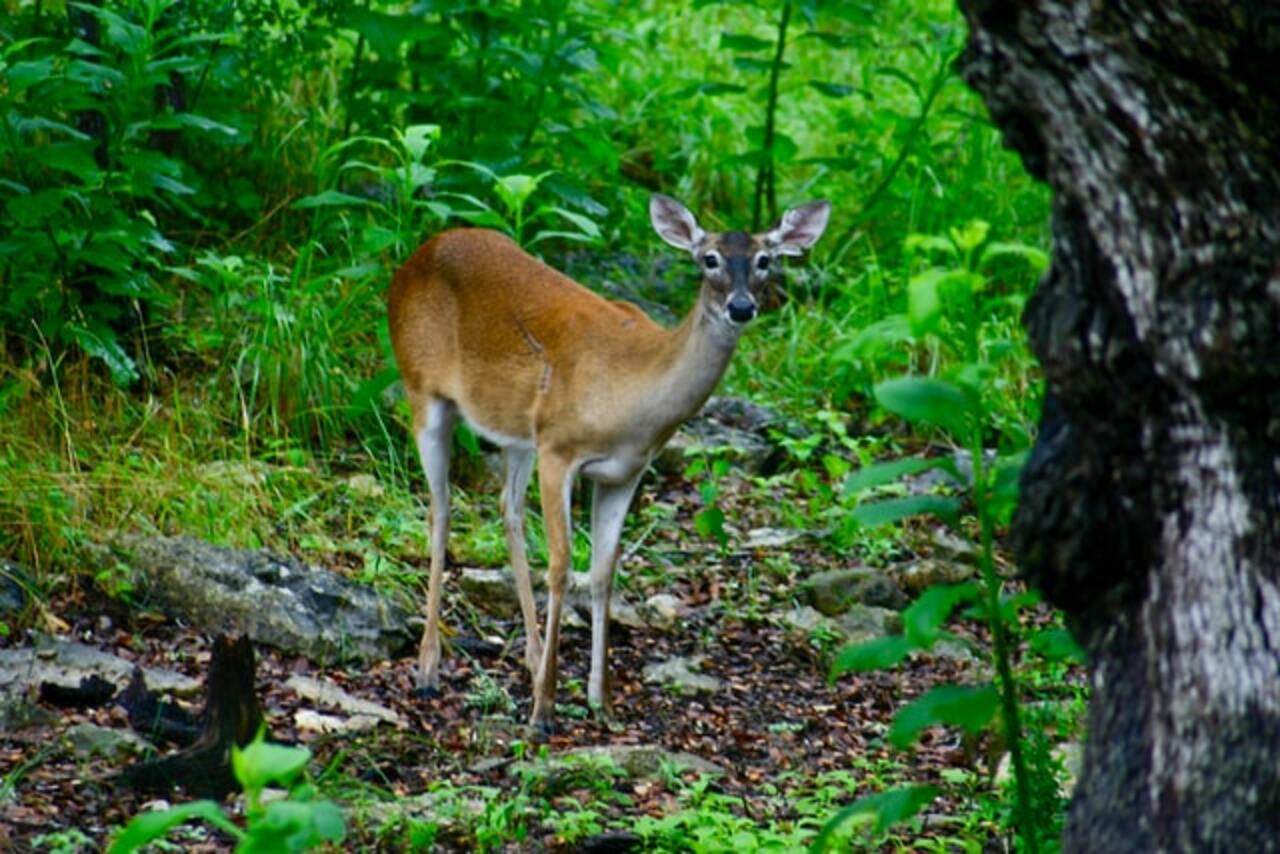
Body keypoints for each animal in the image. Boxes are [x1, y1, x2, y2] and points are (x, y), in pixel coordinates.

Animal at [384, 195, 834, 737]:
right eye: (708, 259)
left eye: (766, 259)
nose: (742, 307)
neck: (632, 396)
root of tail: (414, 259)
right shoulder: (559, 449)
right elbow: (561, 567)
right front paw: (543, 711)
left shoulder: (624, 473)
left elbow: (603, 574)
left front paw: (603, 701)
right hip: (422, 388)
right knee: (441, 509)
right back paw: (429, 668)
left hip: (515, 431)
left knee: (507, 509)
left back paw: (532, 658)